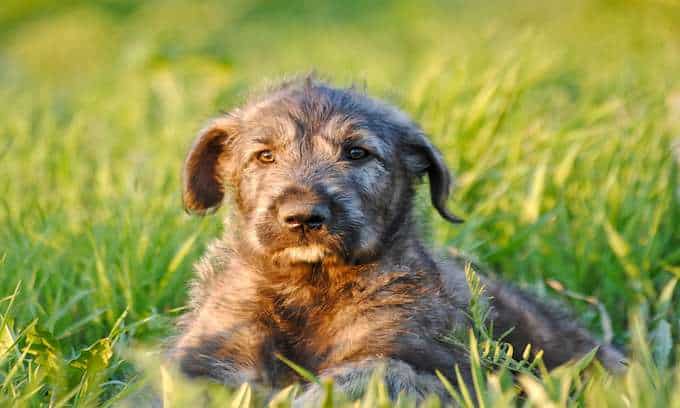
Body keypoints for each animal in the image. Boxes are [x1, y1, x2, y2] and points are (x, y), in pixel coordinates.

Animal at [167, 77, 624, 404]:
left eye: (356, 153)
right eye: (264, 156)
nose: (303, 217)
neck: (310, 286)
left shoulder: (428, 361)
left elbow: (371, 375)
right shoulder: (211, 348)